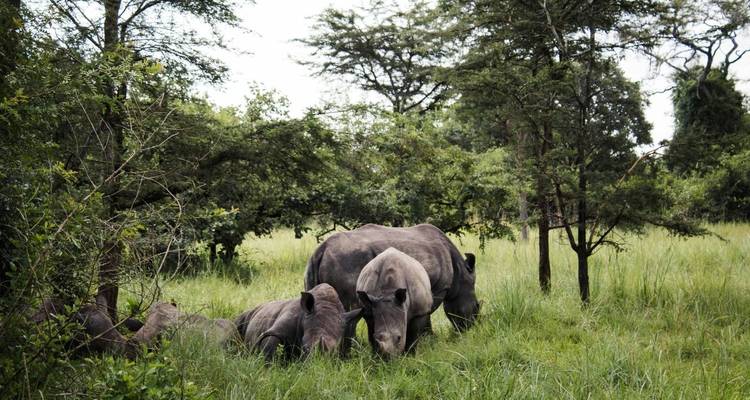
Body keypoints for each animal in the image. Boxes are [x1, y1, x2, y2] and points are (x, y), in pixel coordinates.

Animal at [304, 224, 479, 354]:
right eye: (476, 307)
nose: (471, 329)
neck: (460, 274)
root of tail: (321, 250)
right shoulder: (439, 288)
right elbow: (428, 312)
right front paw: (430, 340)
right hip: (346, 260)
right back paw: (352, 352)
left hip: (313, 266)